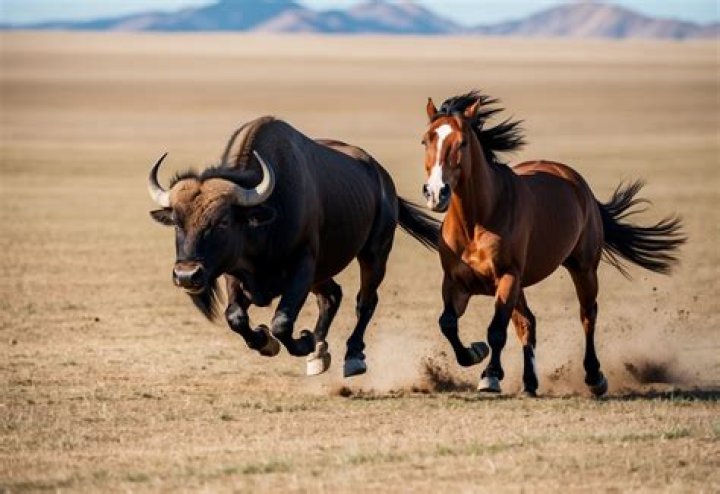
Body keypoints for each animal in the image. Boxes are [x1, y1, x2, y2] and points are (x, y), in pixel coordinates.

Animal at [420, 91, 686, 396]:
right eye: (426, 140)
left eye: (462, 142)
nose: (436, 193)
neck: (477, 220)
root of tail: (576, 182)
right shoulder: (456, 283)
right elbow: (448, 324)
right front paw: (476, 352)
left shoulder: (508, 277)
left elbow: (496, 331)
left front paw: (491, 375)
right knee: (528, 323)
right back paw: (529, 382)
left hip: (583, 269)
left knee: (587, 315)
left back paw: (594, 377)